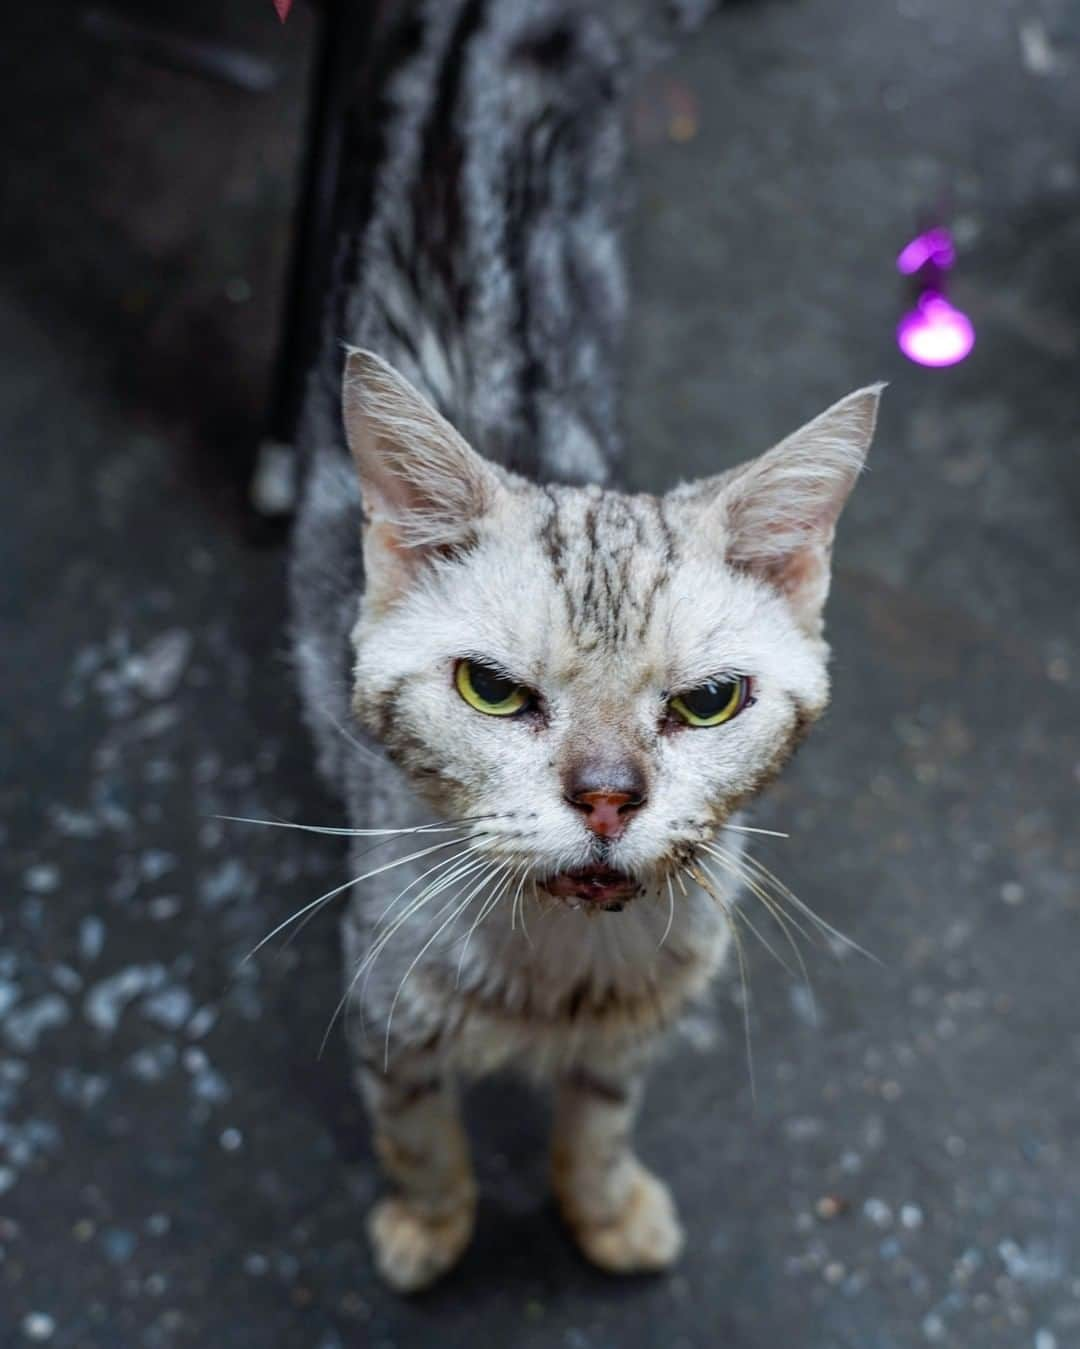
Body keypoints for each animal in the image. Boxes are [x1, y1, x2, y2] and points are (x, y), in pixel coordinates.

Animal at [285, 0, 873, 1295]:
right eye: (490, 689)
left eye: (708, 702)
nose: (608, 796)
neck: (559, 970)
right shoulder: (382, 986)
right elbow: (415, 1125)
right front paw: (431, 1221)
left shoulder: (643, 1012)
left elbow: (600, 1114)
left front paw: (605, 1206)